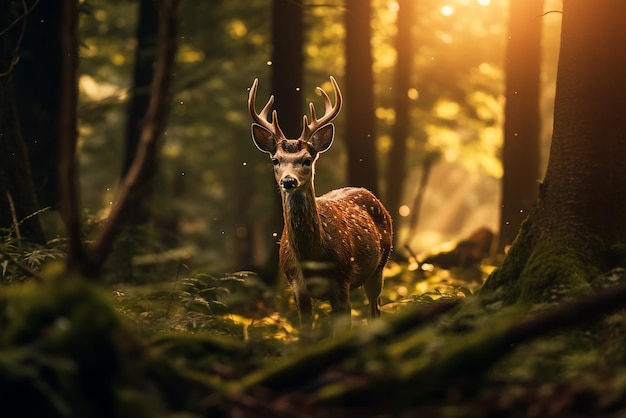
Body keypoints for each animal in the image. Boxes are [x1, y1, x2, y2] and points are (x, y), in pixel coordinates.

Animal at [247, 76, 390, 336]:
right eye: (275, 160)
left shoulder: (342, 282)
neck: (312, 260)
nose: (288, 181)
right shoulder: (297, 289)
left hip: (380, 266)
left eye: (307, 160)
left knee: (375, 310)